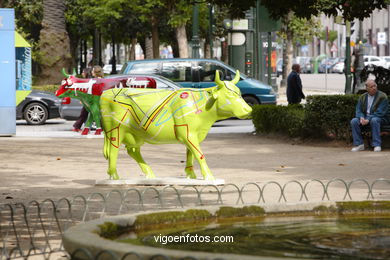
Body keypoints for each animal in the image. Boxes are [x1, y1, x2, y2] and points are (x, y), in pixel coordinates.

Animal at [100, 71, 253, 181]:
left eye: (239, 93)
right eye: (229, 95)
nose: (249, 110)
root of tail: (105, 93)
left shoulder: (192, 133)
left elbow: (190, 153)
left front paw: (191, 175)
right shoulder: (187, 133)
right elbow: (199, 154)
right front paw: (209, 176)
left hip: (136, 135)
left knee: (132, 151)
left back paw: (150, 175)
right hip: (115, 130)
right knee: (113, 151)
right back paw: (114, 176)